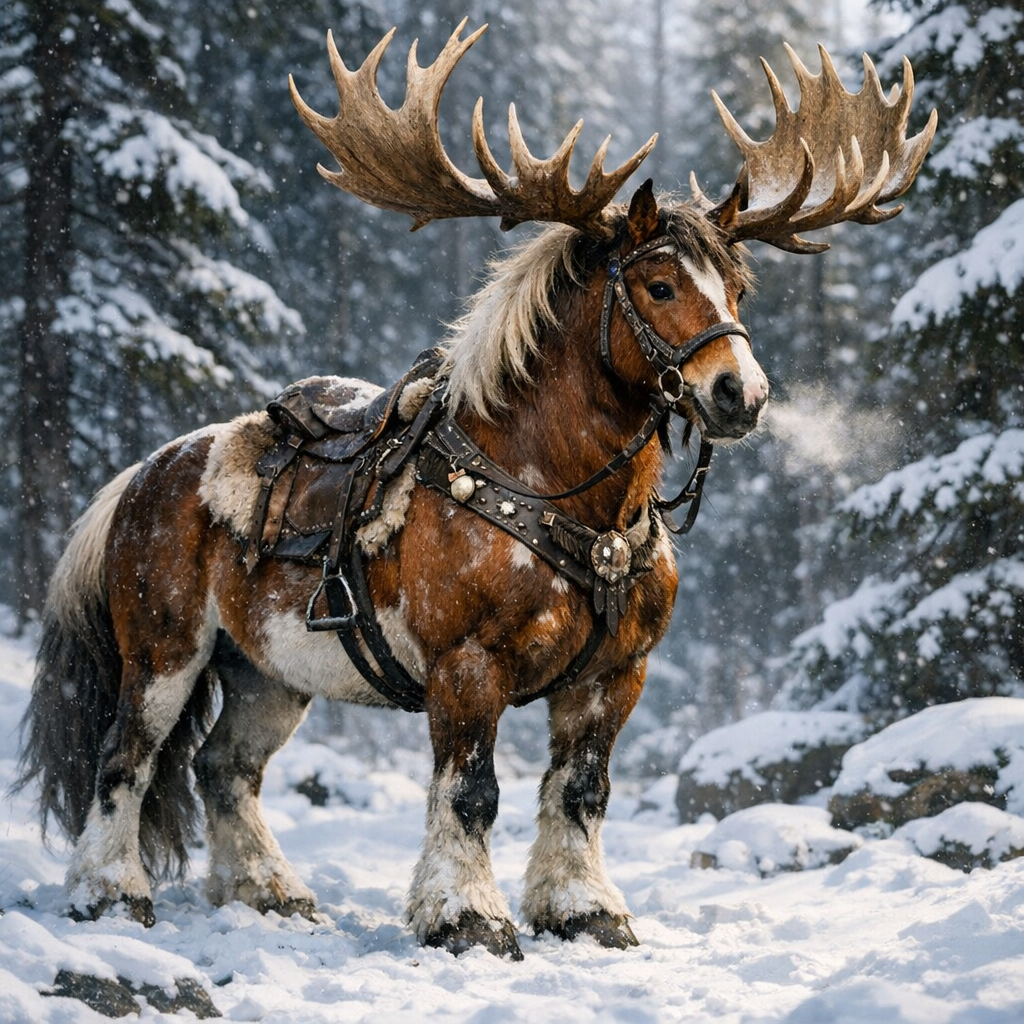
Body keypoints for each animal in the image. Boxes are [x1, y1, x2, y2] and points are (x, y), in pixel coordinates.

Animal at [17, 22, 934, 960]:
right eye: (658, 284)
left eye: (739, 288)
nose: (739, 395)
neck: (569, 499)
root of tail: (141, 476)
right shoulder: (467, 665)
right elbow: (470, 792)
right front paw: (467, 915)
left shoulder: (617, 671)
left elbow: (580, 792)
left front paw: (585, 908)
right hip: (165, 648)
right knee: (126, 755)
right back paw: (110, 890)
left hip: (268, 668)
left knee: (223, 767)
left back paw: (271, 891)